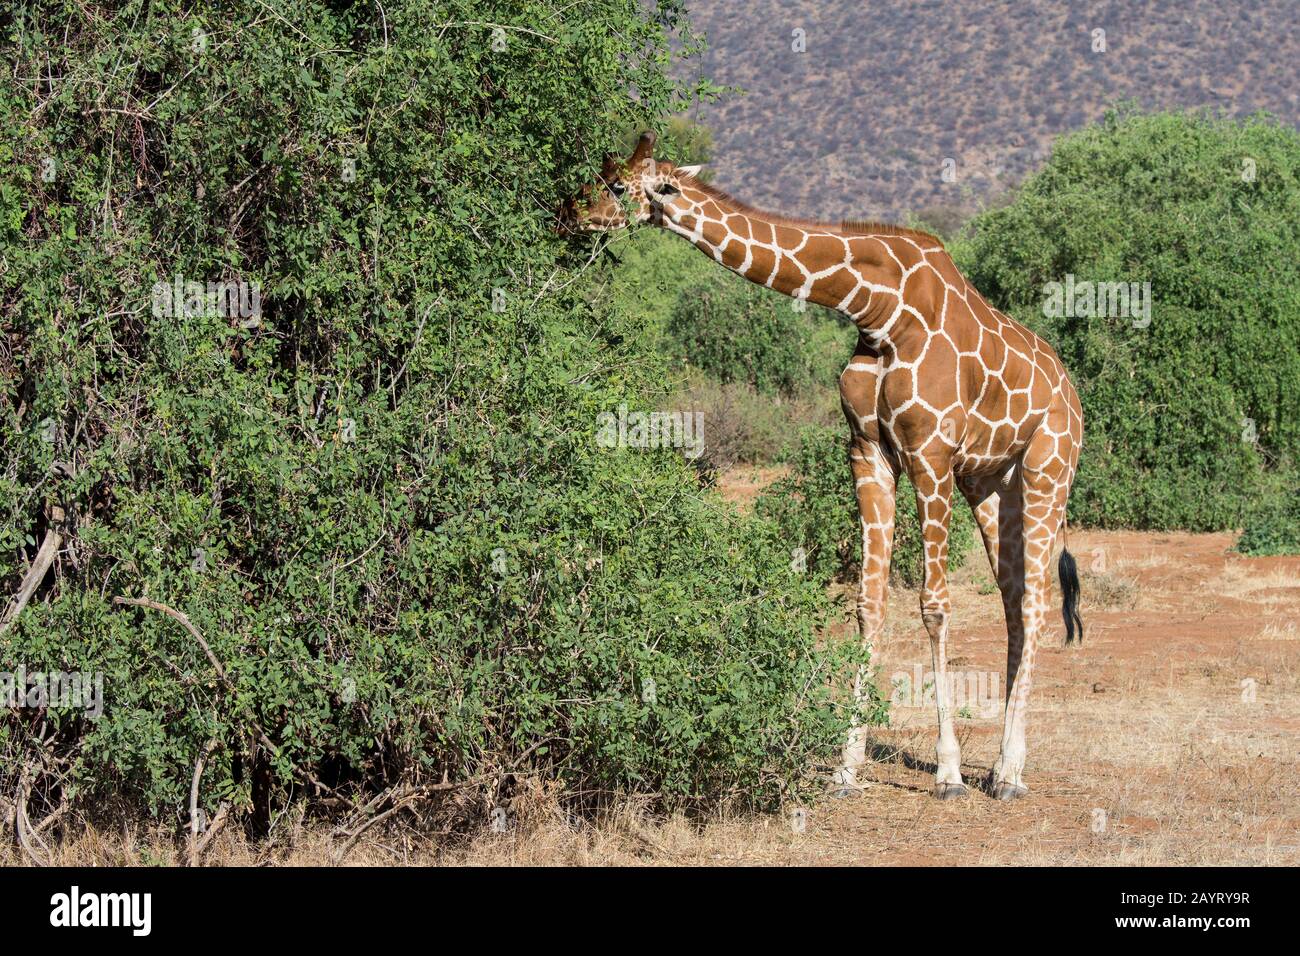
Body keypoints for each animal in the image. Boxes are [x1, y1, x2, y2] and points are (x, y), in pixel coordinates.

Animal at [564, 132, 1081, 801]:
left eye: (621, 185)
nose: (572, 210)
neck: (879, 310)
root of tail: (1075, 394)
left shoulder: (931, 454)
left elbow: (934, 605)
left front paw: (946, 772)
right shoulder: (869, 452)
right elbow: (868, 603)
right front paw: (846, 767)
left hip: (1048, 471)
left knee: (1037, 601)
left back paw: (1011, 774)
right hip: (991, 484)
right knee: (1016, 598)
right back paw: (998, 767)